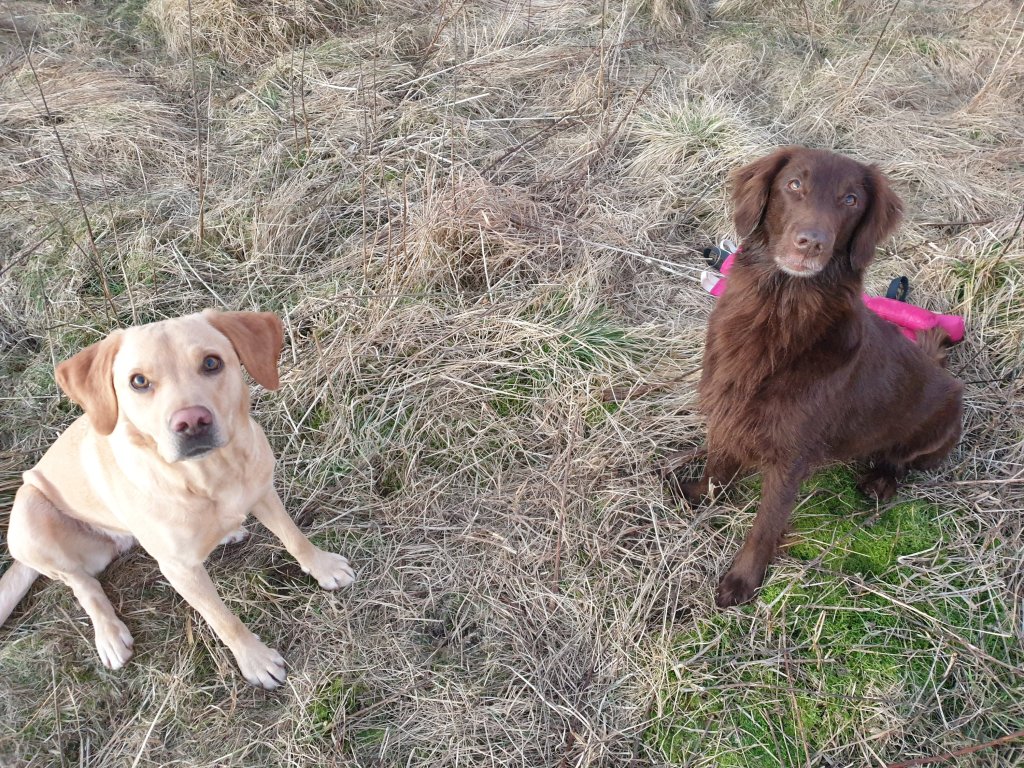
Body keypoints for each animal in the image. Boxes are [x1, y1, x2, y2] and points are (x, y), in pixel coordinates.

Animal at [0, 310, 355, 688]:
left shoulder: (263, 491)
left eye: (211, 363)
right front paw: (255, 660)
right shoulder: (180, 571)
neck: (208, 475)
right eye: (139, 381)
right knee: (82, 584)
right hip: (28, 515)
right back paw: (109, 634)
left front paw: (324, 567)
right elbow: (222, 619)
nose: (191, 421)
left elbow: (294, 537)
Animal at [673, 146, 963, 608]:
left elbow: (766, 524)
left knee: (901, 462)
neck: (780, 311)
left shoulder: (791, 454)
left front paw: (743, 581)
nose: (811, 242)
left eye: (851, 200)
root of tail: (943, 373)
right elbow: (717, 465)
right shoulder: (727, 407)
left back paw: (880, 481)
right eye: (794, 185)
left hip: (939, 428)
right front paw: (698, 496)